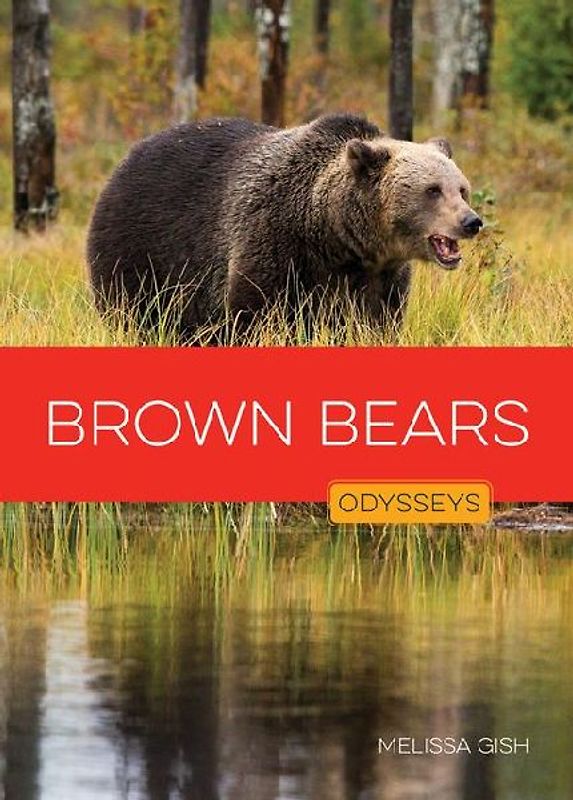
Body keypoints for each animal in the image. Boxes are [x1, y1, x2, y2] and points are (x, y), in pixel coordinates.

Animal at [87, 113, 482, 342]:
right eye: (433, 190)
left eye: (461, 188)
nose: (471, 221)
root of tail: (127, 158)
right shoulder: (275, 242)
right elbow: (255, 312)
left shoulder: (379, 277)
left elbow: (376, 321)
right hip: (142, 249)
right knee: (136, 311)